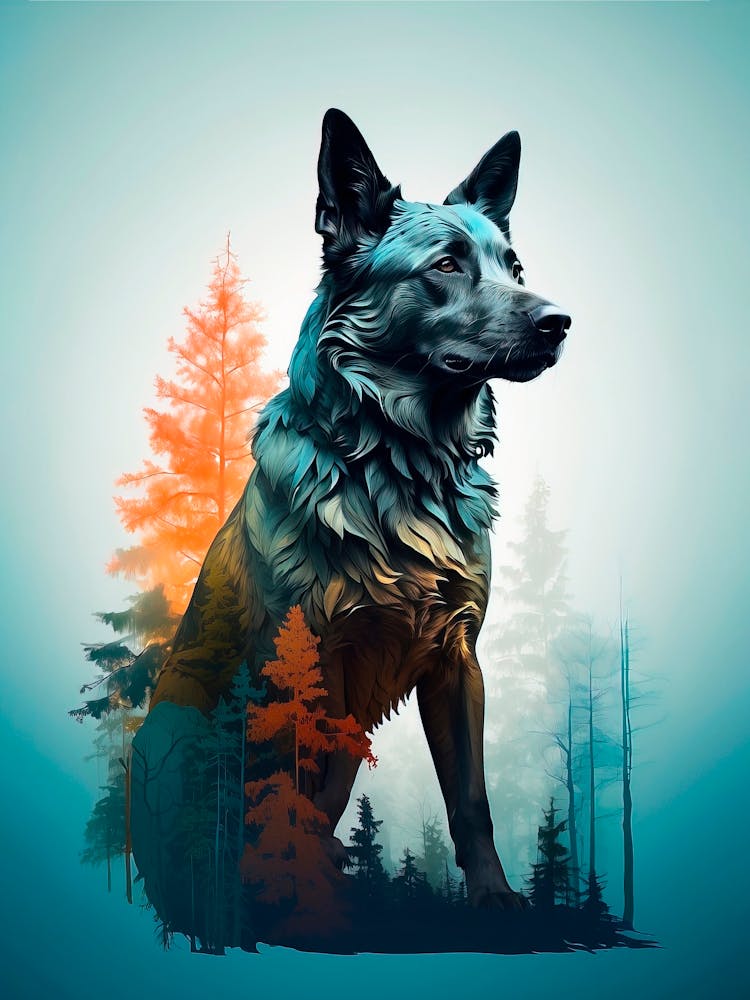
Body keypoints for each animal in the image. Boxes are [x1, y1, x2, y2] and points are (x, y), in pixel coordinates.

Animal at [148, 109, 571, 909]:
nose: (560, 321)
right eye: (446, 265)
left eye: (515, 268)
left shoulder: (457, 660)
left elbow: (470, 797)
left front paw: (496, 902)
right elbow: (302, 795)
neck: (400, 470)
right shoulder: (312, 661)